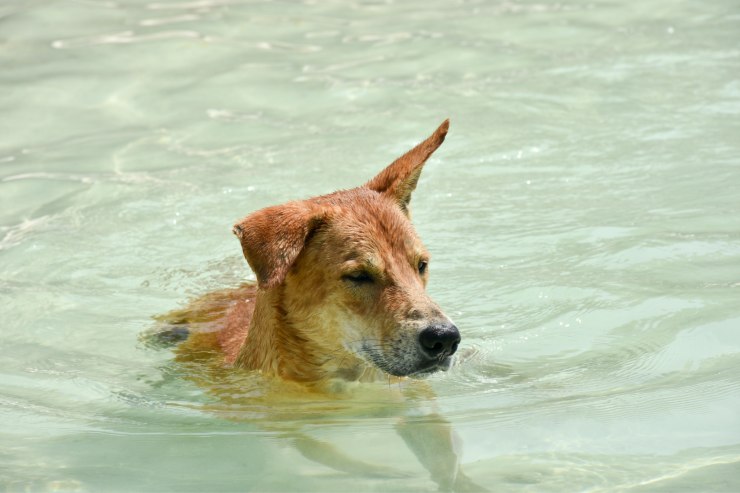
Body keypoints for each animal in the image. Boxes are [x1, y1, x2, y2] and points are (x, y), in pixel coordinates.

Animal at [156, 120, 482, 492]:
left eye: (422, 265)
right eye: (358, 275)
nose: (444, 338)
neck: (350, 381)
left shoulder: (417, 400)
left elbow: (440, 446)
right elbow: (312, 451)